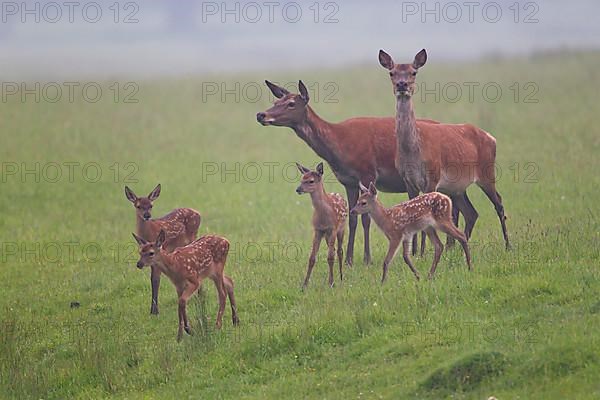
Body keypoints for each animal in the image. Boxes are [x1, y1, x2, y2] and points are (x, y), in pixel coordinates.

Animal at [255, 80, 472, 262]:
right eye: (276, 100)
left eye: (291, 103)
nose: (261, 115)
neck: (339, 148)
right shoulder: (348, 181)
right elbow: (352, 218)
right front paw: (349, 259)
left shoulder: (367, 172)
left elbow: (366, 218)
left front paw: (367, 258)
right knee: (460, 207)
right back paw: (452, 246)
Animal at [296, 161, 346, 290]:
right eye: (301, 179)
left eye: (311, 181)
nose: (298, 189)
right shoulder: (318, 230)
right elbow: (312, 257)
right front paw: (304, 285)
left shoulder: (332, 229)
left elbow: (330, 257)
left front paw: (331, 283)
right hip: (327, 235)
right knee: (334, 249)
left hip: (342, 228)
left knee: (339, 251)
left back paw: (341, 277)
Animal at [380, 49, 510, 250]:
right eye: (392, 73)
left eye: (413, 72)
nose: (402, 84)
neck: (413, 152)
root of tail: (491, 137)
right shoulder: (408, 180)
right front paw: (414, 251)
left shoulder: (432, 177)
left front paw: (423, 251)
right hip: (457, 187)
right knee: (471, 212)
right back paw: (458, 246)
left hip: (487, 172)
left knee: (499, 202)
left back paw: (508, 245)